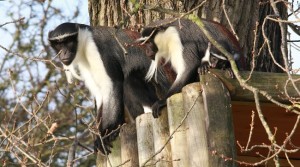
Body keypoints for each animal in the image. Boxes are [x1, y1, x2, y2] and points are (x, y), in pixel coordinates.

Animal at [47, 22, 168, 155]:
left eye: (68, 41)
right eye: (58, 44)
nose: (63, 53)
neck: (84, 41)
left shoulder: (98, 49)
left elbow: (112, 84)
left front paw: (107, 131)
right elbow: (100, 95)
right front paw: (99, 135)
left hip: (159, 91)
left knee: (131, 79)